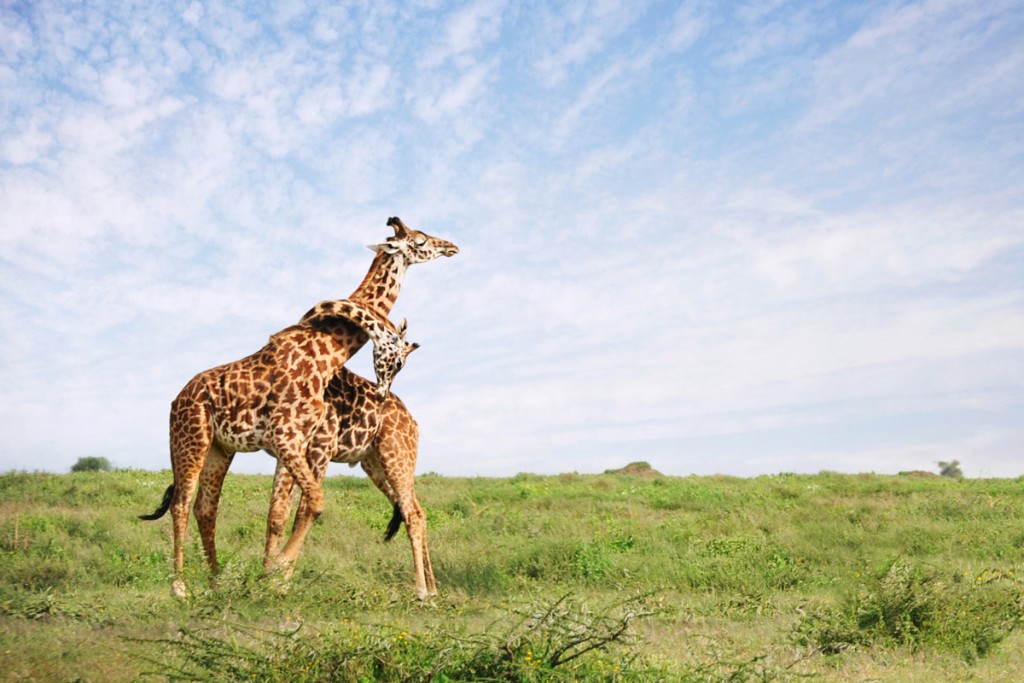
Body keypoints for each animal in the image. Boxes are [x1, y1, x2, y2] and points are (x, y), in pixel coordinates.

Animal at [265, 365, 436, 598]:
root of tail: (413, 423)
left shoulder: (322, 446)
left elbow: (301, 513)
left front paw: (282, 579)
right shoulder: (285, 451)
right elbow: (277, 516)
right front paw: (265, 577)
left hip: (395, 455)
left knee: (413, 515)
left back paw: (421, 590)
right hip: (375, 463)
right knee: (417, 510)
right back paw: (433, 588)